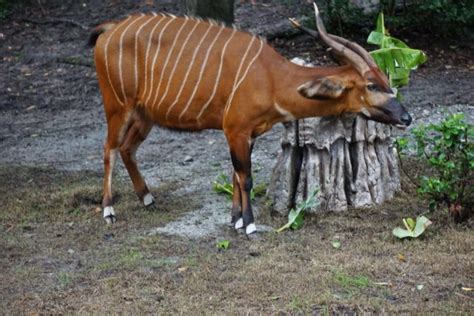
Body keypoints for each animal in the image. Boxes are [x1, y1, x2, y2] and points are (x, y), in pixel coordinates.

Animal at [88, 2, 412, 235]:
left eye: (387, 80)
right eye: (371, 85)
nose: (406, 117)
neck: (271, 77)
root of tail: (110, 30)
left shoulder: (249, 133)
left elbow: (235, 174)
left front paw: (235, 220)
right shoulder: (235, 130)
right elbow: (245, 176)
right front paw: (249, 224)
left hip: (145, 115)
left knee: (127, 148)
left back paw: (147, 198)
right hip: (118, 107)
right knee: (109, 149)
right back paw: (108, 210)